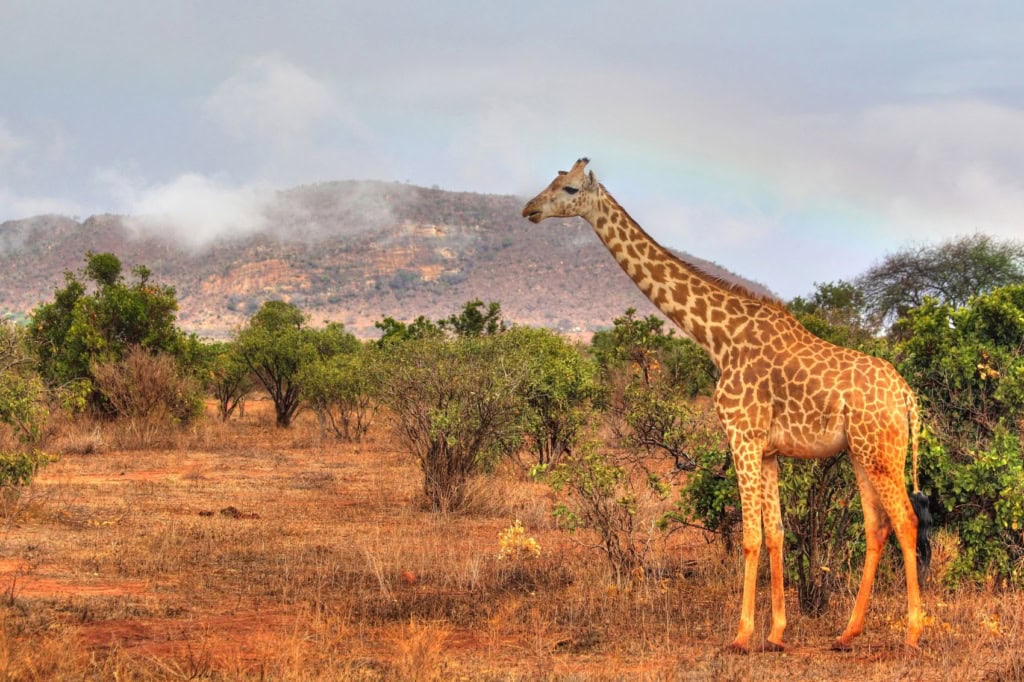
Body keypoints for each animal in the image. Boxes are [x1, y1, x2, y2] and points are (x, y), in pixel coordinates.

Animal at [522, 158, 931, 652]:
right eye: (551, 180)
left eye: (569, 188)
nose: (529, 209)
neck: (718, 338)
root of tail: (907, 394)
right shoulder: (769, 450)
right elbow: (776, 534)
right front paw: (776, 633)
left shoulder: (741, 436)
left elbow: (750, 536)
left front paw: (742, 634)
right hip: (861, 453)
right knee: (877, 525)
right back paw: (847, 632)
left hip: (881, 452)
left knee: (906, 521)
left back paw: (912, 633)